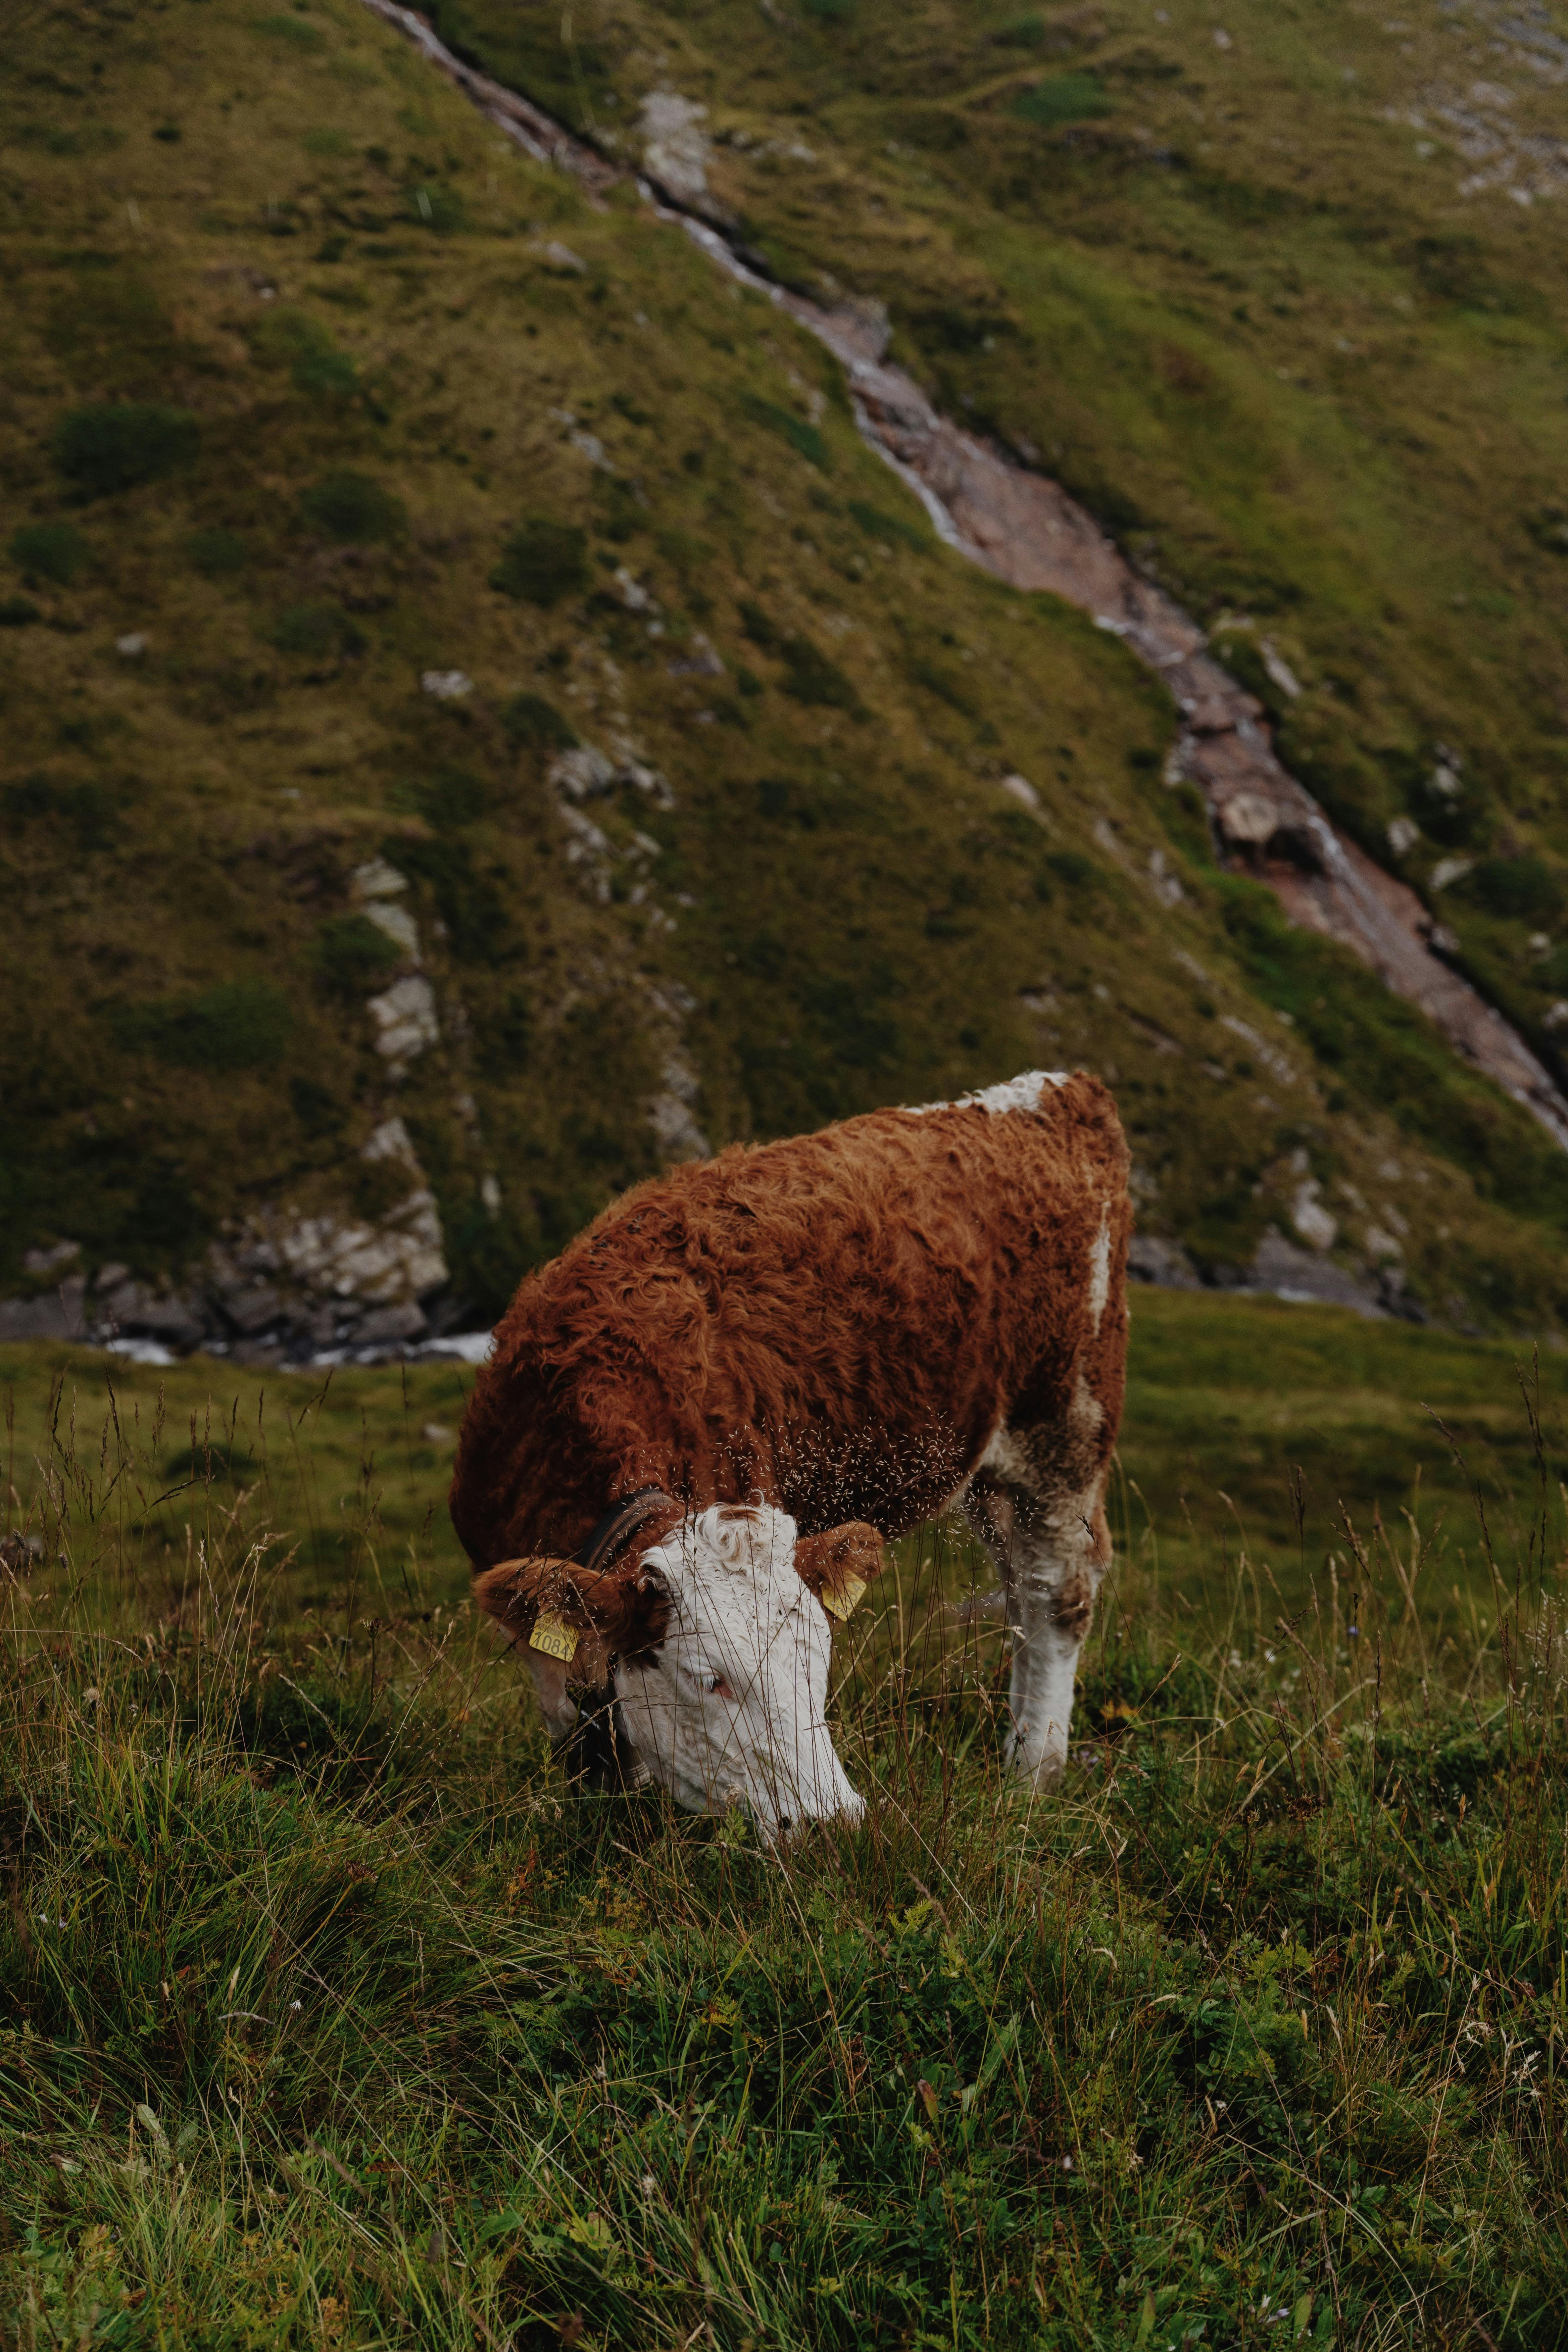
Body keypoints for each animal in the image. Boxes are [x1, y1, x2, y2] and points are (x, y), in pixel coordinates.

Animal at [451, 1068, 1130, 1839]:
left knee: (1057, 1594)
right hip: (997, 1476)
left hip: (1066, 1431)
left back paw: (1033, 1770)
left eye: (820, 1660)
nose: (836, 1820)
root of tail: (1050, 1090)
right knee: (1019, 1592)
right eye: (708, 1677)